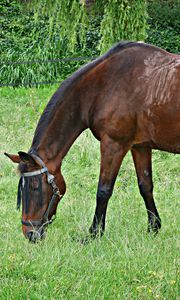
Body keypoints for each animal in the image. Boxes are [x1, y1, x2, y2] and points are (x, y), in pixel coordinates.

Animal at [4, 42, 179, 243]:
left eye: (34, 187)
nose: (30, 234)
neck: (102, 87)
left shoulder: (113, 145)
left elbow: (103, 190)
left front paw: (94, 233)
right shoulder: (140, 146)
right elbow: (145, 186)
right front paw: (153, 228)